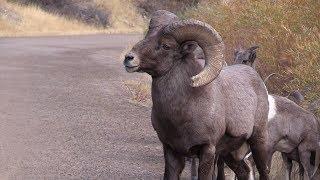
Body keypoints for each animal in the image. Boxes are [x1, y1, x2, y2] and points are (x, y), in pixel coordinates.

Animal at [122, 10, 270, 179]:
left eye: (166, 46)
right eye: (147, 36)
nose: (129, 58)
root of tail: (256, 77)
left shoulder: (207, 151)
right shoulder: (171, 151)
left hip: (258, 141)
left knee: (264, 170)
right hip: (230, 154)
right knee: (243, 171)